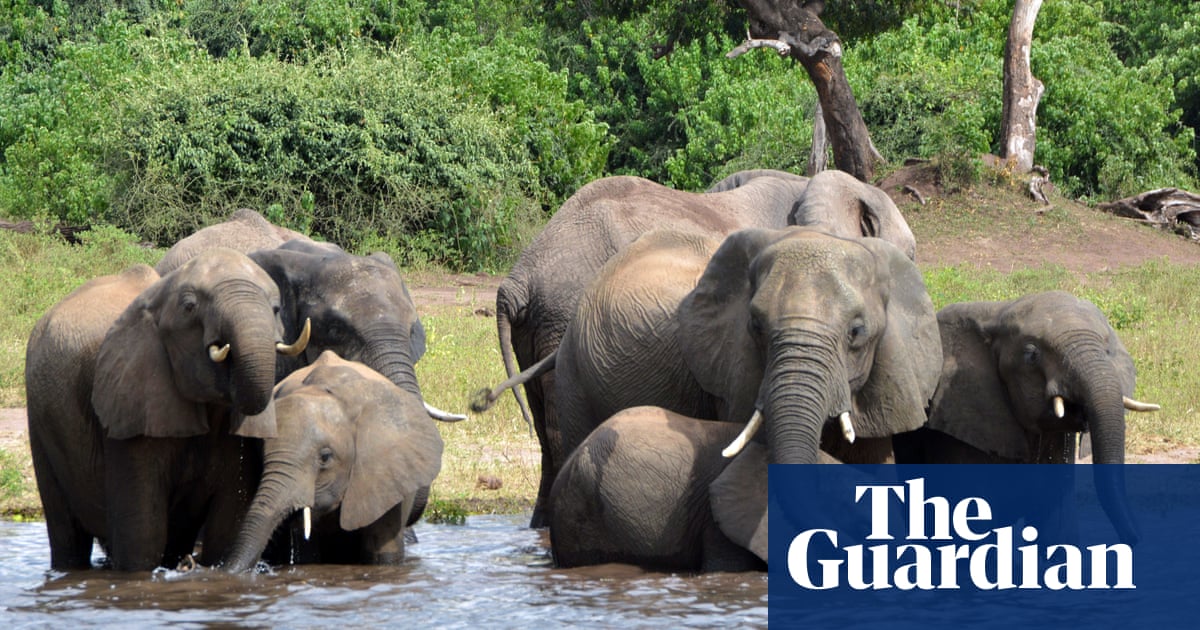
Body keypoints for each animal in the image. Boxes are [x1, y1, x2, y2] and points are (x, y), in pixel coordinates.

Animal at [25, 248, 309, 570]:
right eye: (189, 307)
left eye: (275, 309)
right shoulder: (130, 403)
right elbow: (142, 536)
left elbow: (228, 525)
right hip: (41, 423)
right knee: (67, 535)